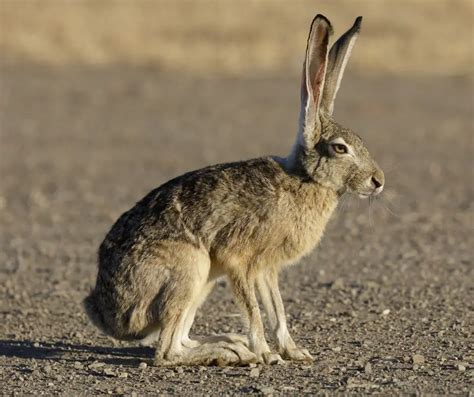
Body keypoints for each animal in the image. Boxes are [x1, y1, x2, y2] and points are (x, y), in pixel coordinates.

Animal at [83, 13, 384, 366]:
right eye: (340, 148)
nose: (378, 181)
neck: (305, 179)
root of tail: (105, 314)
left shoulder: (266, 268)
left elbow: (277, 310)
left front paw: (293, 351)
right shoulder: (237, 259)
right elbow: (254, 312)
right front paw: (267, 355)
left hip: (204, 282)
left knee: (180, 339)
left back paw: (230, 344)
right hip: (191, 268)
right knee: (166, 351)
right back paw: (232, 353)